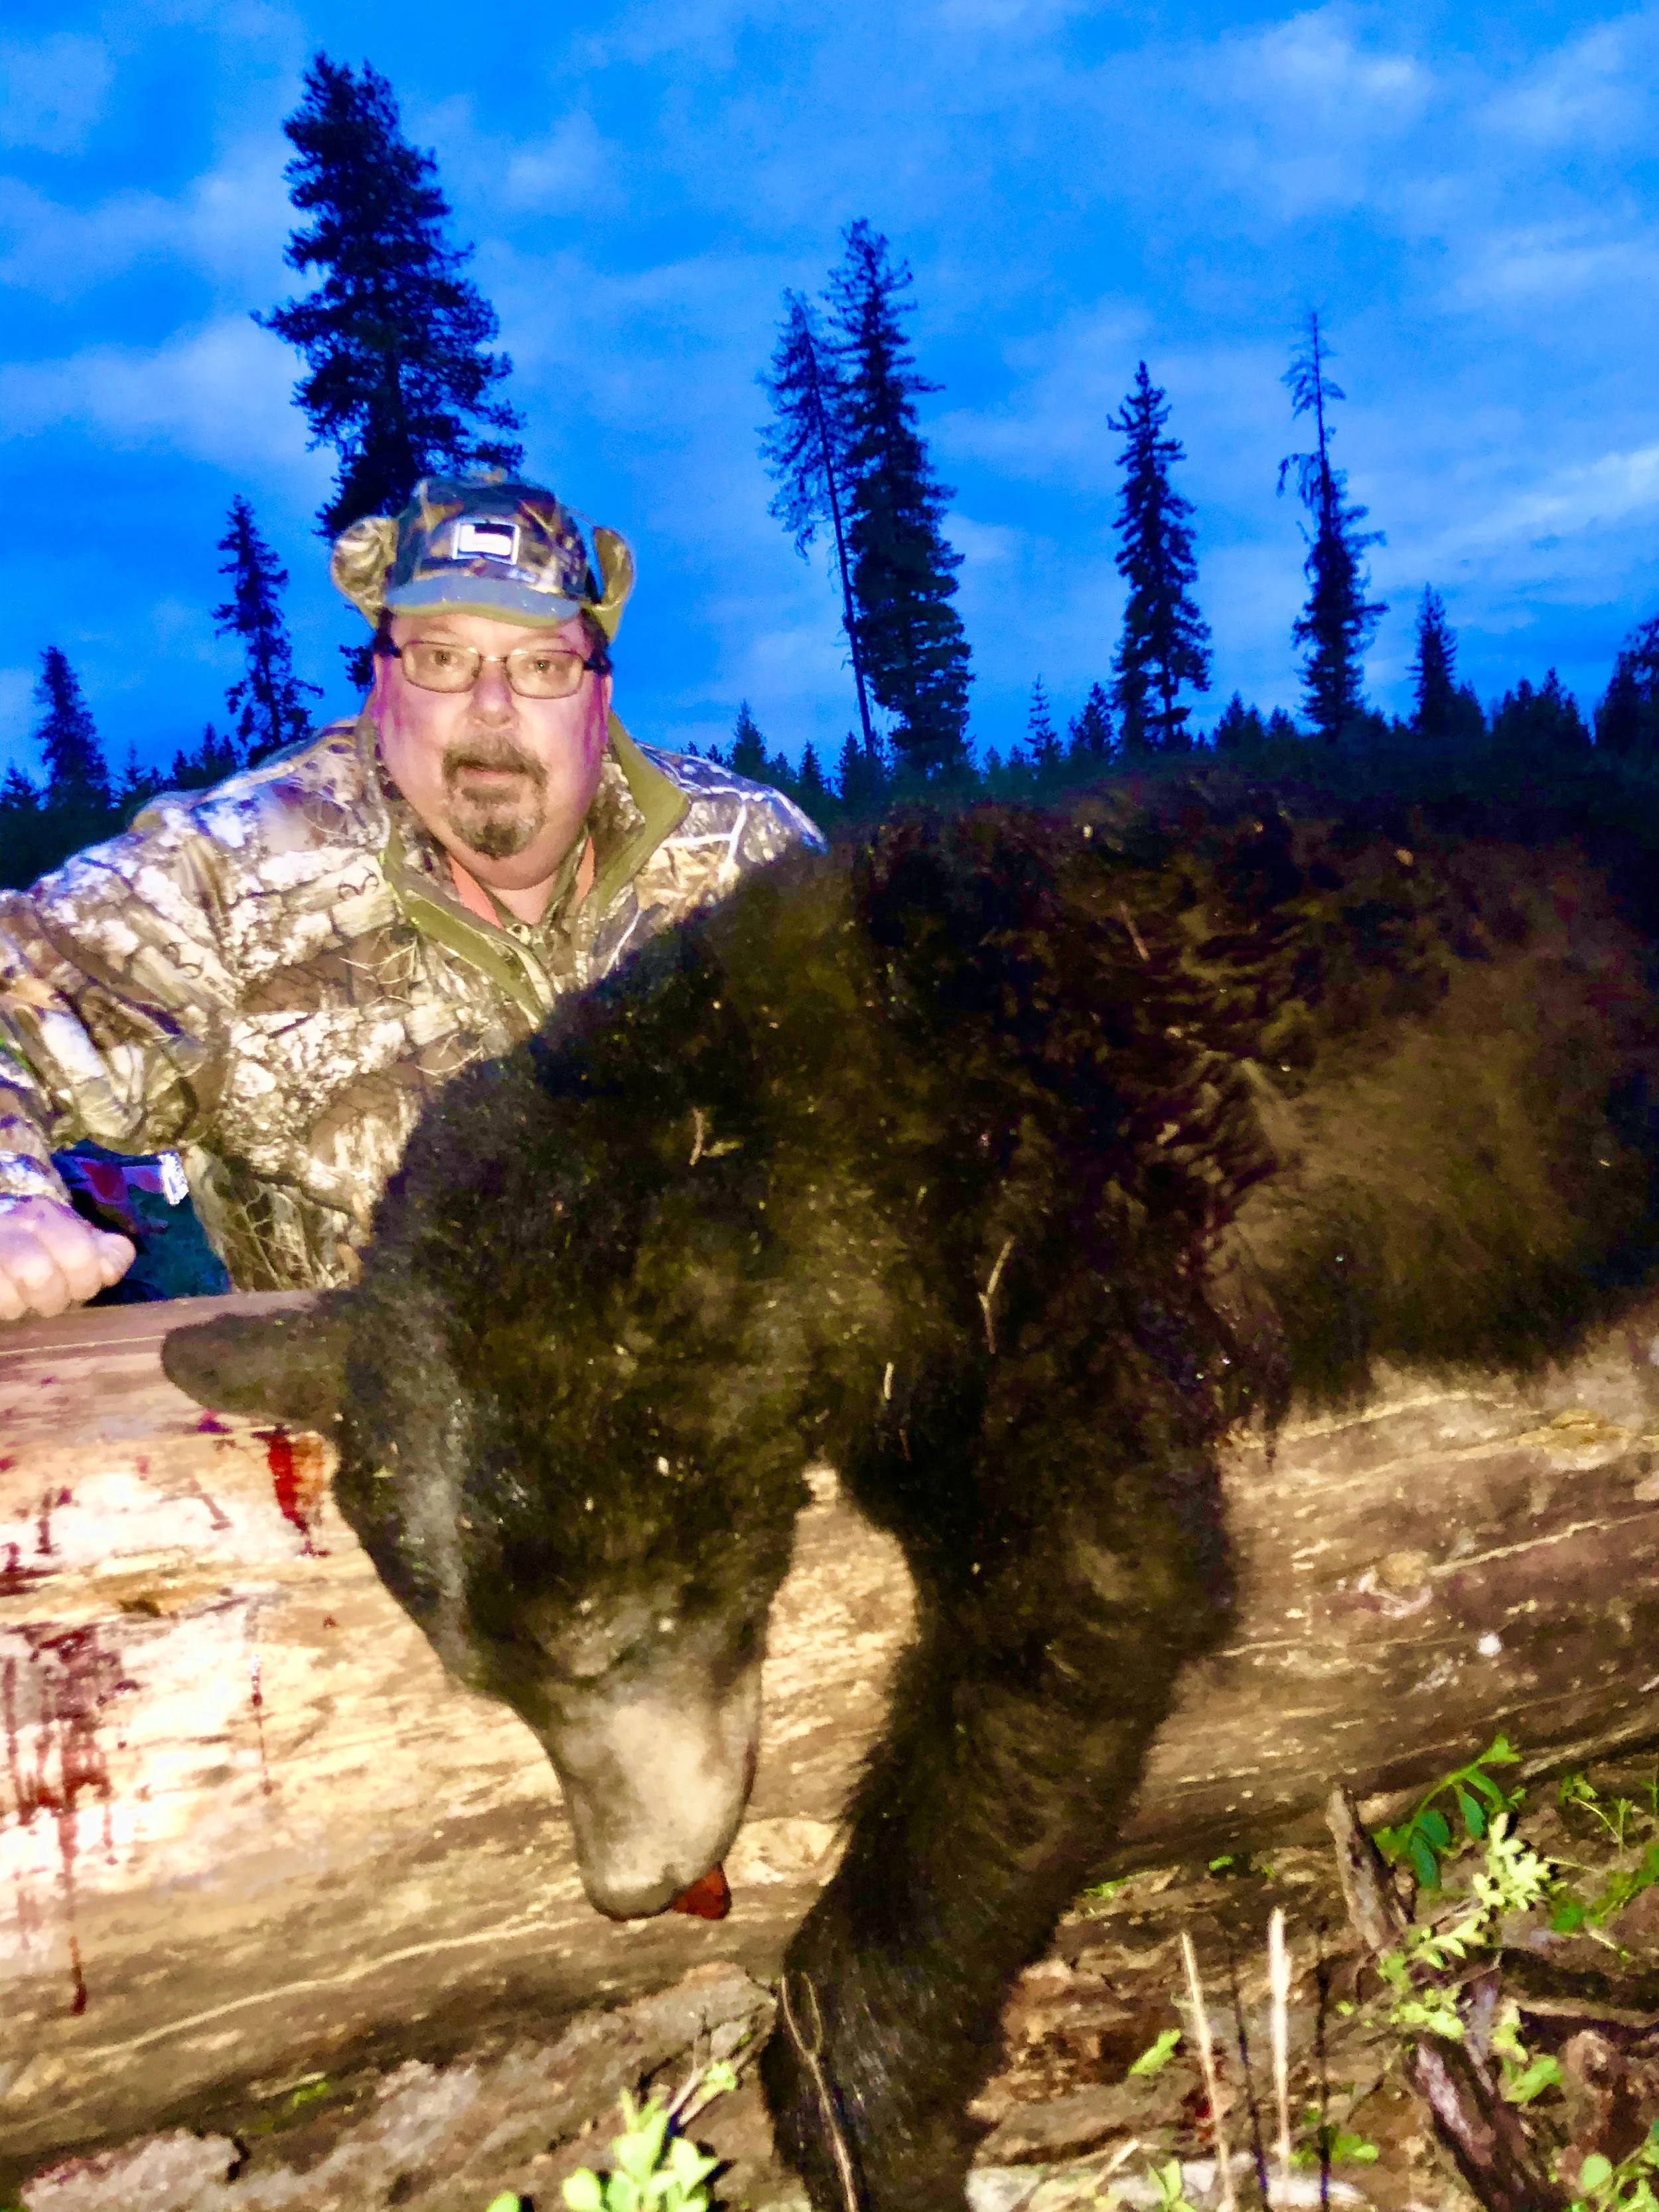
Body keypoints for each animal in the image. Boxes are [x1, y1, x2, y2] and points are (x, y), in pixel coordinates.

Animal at [164, 785, 1659, 2212]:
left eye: (615, 1640)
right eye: (492, 1684)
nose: (629, 1884)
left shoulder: (1027, 1265)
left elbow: (1081, 1599)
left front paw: (859, 2113)